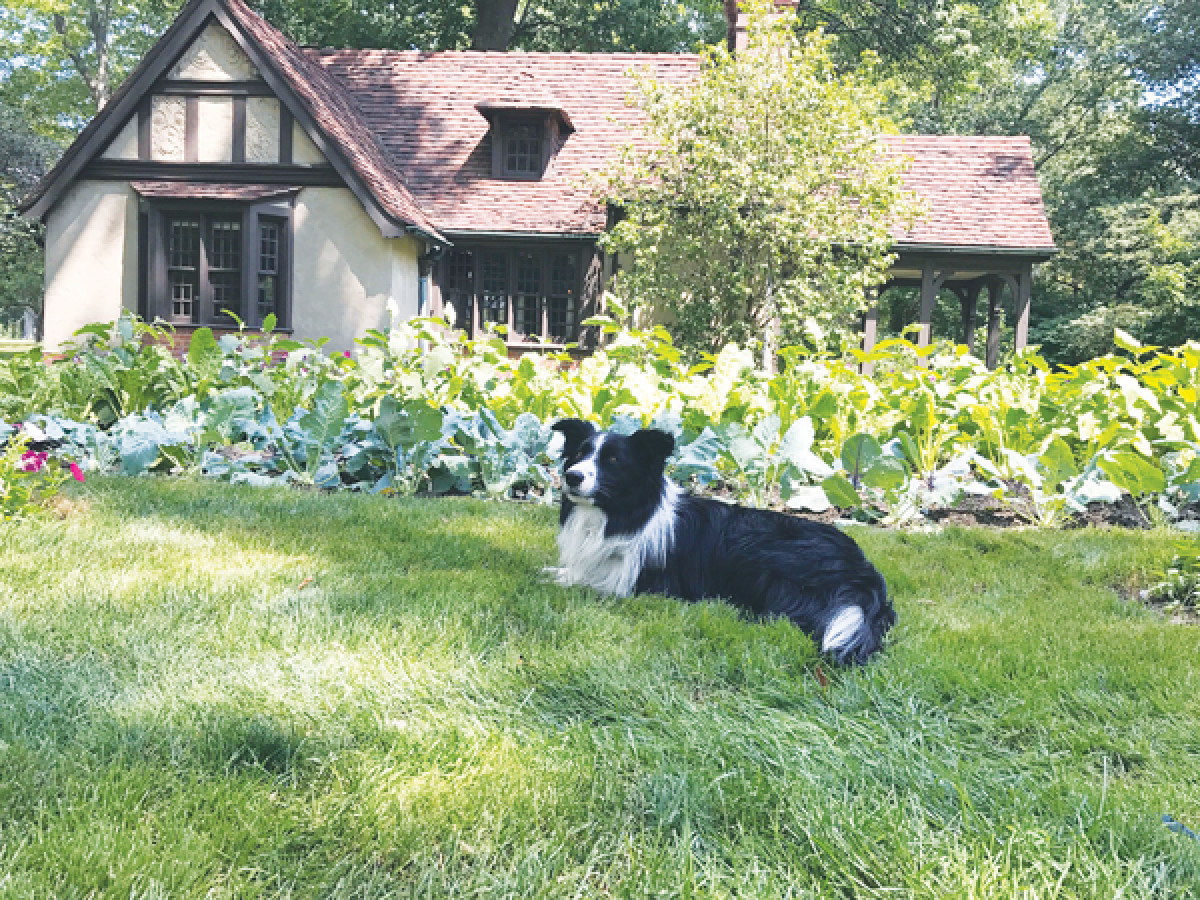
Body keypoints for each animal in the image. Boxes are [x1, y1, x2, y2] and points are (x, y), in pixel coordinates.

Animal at [549, 420, 897, 667]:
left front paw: (560, 577)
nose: (572, 476)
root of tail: (863, 571)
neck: (622, 514)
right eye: (579, 454)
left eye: (613, 460)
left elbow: (590, 579)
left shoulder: (641, 582)